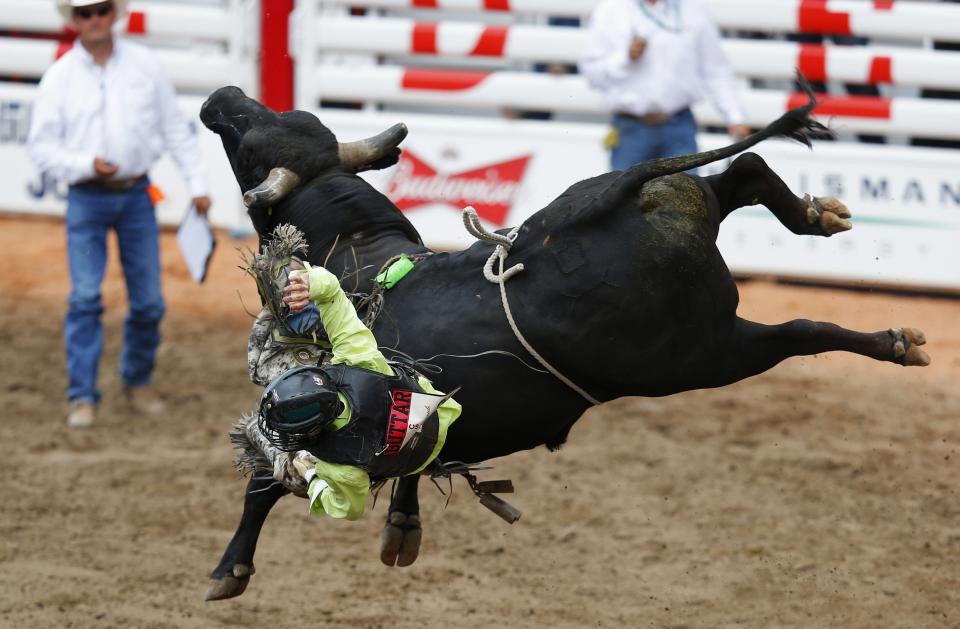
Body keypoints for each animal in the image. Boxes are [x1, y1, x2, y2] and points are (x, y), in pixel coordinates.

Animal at [201, 84, 928, 600]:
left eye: (247, 141)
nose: (220, 98)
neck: (360, 257)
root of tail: (610, 195)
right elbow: (420, 460)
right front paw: (403, 525)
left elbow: (267, 479)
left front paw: (230, 568)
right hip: (693, 243)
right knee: (743, 169)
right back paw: (825, 226)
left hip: (703, 352)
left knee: (799, 329)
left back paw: (891, 339)